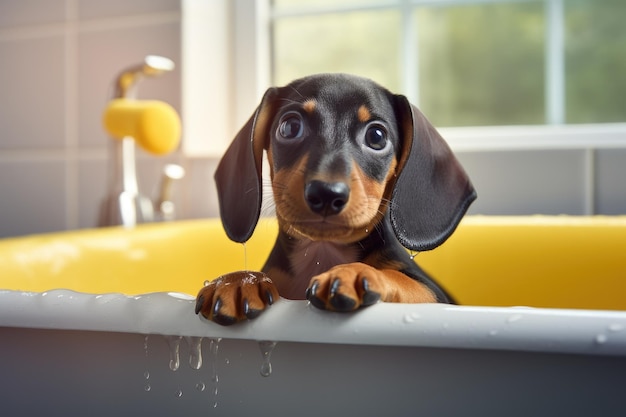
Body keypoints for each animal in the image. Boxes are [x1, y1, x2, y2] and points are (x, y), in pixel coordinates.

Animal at [194, 73, 472, 324]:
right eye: (290, 127)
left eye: (377, 136)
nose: (326, 194)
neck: (323, 252)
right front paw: (239, 280)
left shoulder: (433, 295)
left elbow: (401, 279)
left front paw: (356, 272)